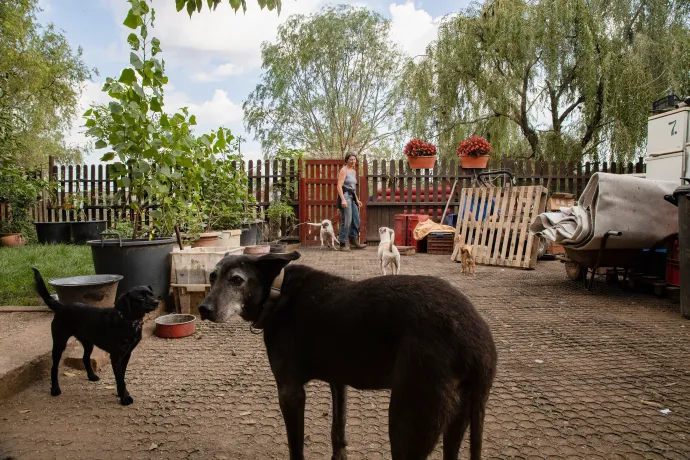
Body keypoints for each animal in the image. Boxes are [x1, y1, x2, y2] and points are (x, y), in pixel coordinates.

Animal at [32, 268, 159, 404]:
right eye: (141, 298)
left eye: (151, 294)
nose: (157, 302)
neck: (129, 321)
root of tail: (62, 306)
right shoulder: (116, 356)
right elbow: (120, 378)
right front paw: (124, 397)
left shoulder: (127, 354)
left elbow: (122, 376)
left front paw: (121, 393)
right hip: (59, 343)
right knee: (54, 367)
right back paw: (55, 389)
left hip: (88, 343)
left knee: (85, 358)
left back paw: (91, 376)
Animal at [198, 253, 494, 458]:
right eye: (212, 277)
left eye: (236, 280)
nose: (203, 309)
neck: (277, 294)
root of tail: (479, 345)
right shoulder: (339, 382)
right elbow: (337, 433)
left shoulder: (290, 392)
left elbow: (296, 448)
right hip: (457, 420)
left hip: (406, 423)